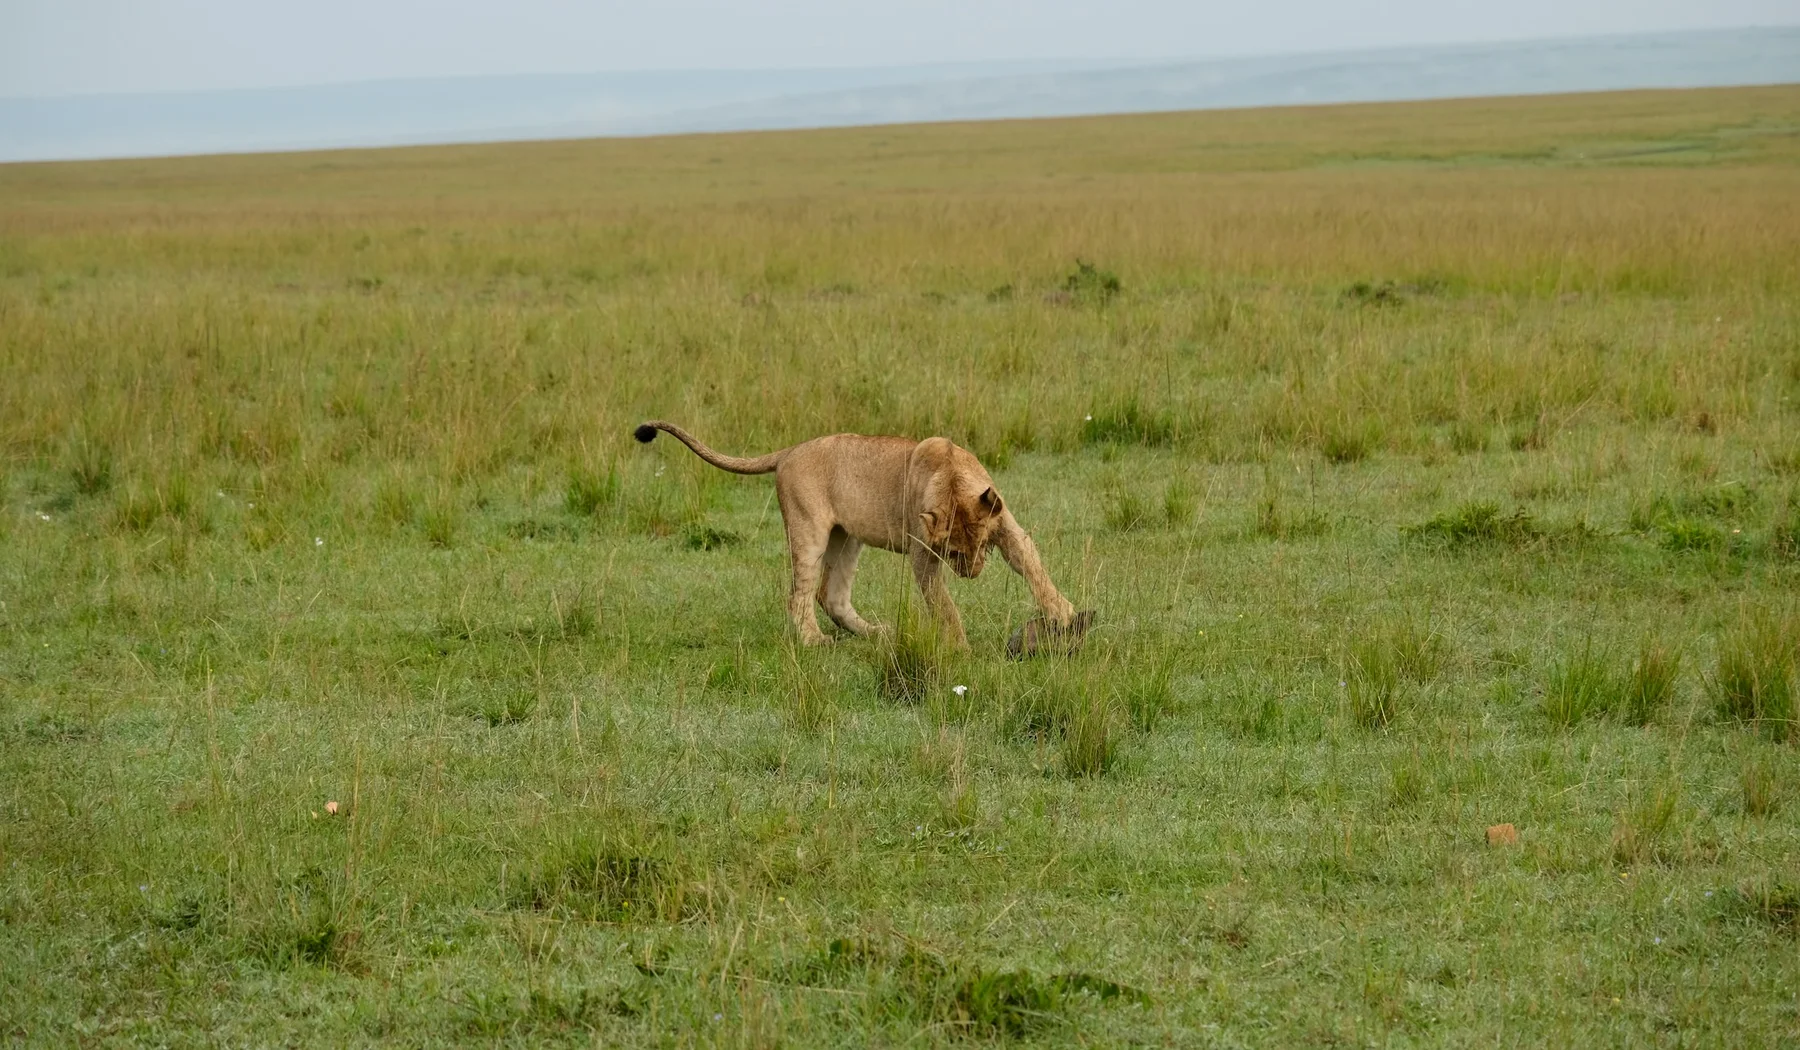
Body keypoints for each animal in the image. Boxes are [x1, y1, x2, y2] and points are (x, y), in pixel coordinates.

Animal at [633, 420, 1079, 649]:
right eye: (953, 553)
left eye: (983, 545)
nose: (971, 574)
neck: (951, 475)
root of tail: (790, 450)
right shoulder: (923, 553)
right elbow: (943, 605)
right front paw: (960, 649)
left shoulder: (1008, 528)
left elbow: (1035, 571)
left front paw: (1065, 614)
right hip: (809, 532)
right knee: (799, 595)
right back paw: (814, 641)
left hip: (846, 538)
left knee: (830, 595)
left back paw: (876, 633)